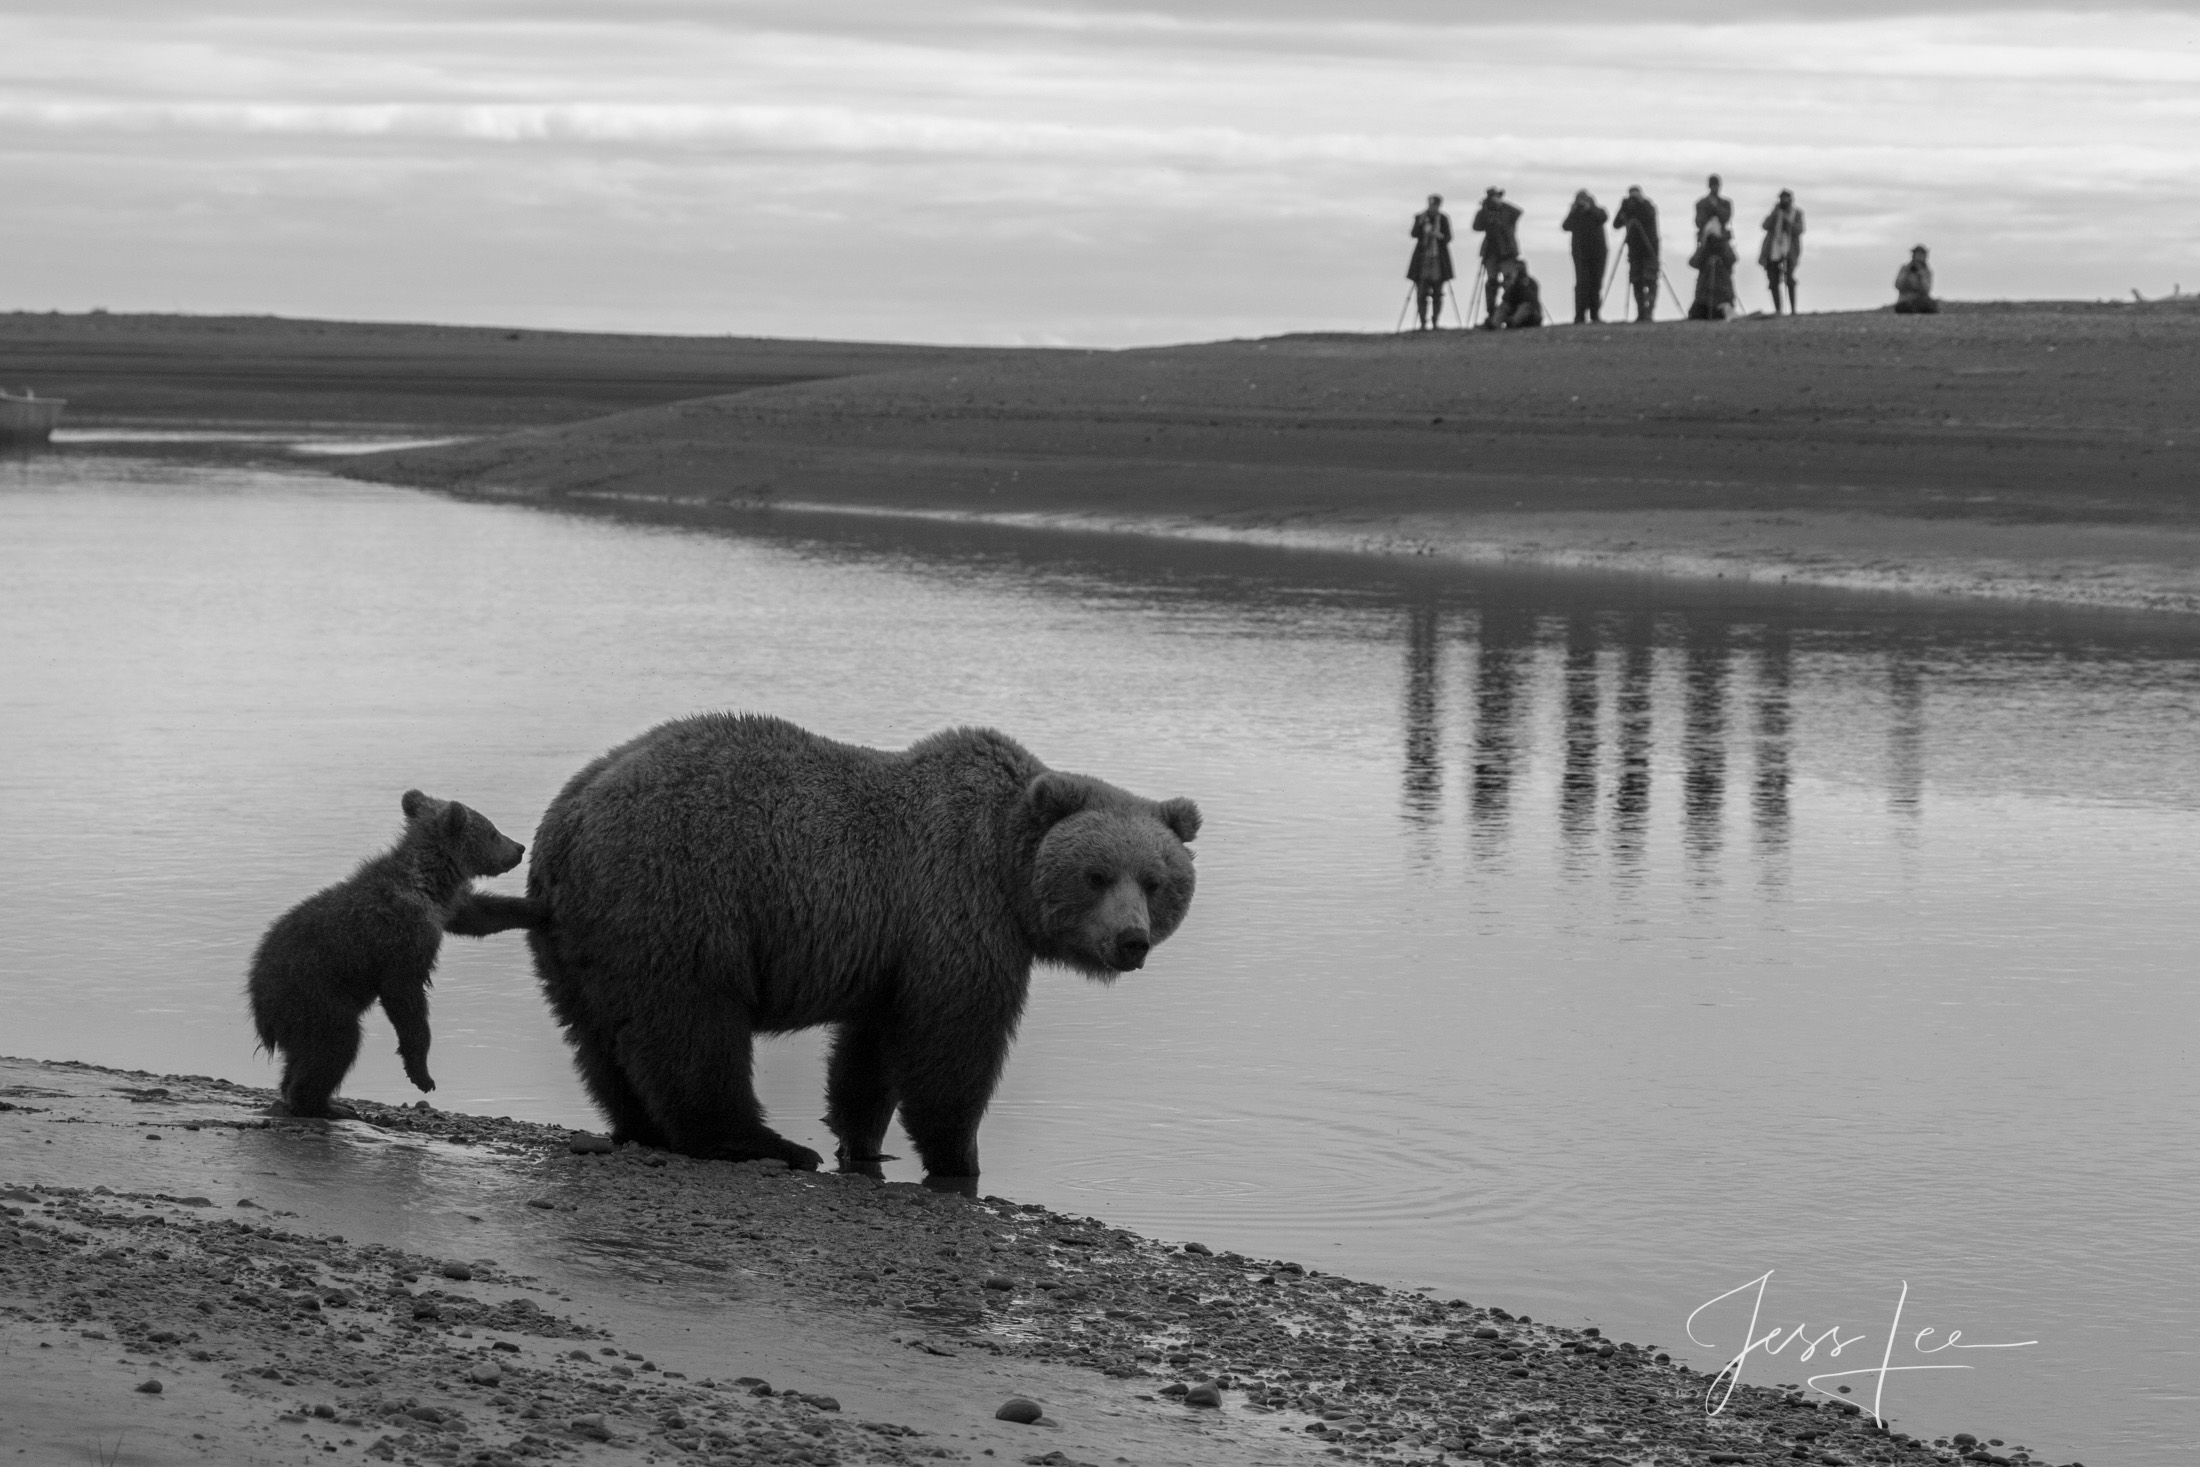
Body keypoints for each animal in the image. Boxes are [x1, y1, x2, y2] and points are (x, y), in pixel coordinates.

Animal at [247, 796, 525, 1117]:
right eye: (493, 833)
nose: (520, 848)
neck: (429, 882)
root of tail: (258, 1007)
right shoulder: (402, 936)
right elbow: (404, 996)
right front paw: (421, 1073)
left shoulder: (446, 909)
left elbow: (480, 915)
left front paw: (536, 908)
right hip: (312, 994)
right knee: (335, 1043)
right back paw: (324, 1105)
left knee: (303, 1056)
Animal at [453, 712, 1196, 1178]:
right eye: (1097, 874)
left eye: (1156, 880)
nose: (1130, 940)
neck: (1007, 871)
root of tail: (566, 821)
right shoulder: (955, 911)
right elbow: (954, 1043)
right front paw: (959, 1155)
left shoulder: (894, 948)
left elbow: (870, 1054)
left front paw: (861, 1138)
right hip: (681, 890)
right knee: (692, 1026)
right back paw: (759, 1142)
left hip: (578, 936)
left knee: (601, 1035)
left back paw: (643, 1124)